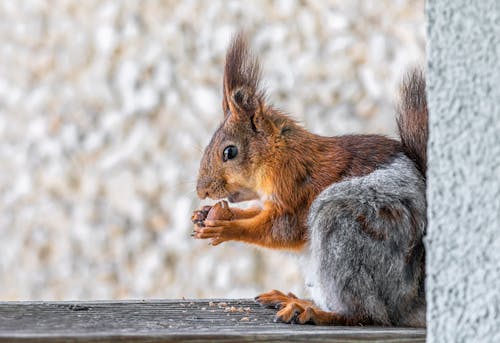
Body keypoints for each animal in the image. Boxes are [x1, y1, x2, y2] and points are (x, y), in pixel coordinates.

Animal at [190, 33, 426, 328]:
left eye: (229, 152)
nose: (202, 191)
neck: (279, 153)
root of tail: (409, 303)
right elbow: (256, 213)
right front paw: (208, 215)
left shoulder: (296, 189)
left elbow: (281, 230)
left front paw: (225, 228)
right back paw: (294, 300)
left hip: (344, 227)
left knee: (366, 315)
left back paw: (313, 312)